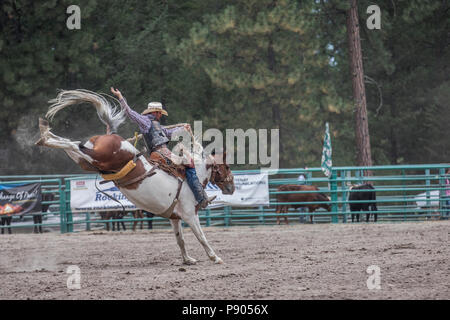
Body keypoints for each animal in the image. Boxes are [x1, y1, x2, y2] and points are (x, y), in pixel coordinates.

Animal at [35, 89, 236, 264]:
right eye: (226, 166)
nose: (232, 187)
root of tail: (111, 135)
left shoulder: (174, 217)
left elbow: (180, 240)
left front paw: (187, 260)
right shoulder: (189, 214)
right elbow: (201, 237)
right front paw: (215, 258)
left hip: (88, 162)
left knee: (72, 145)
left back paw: (45, 134)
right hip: (97, 157)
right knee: (75, 145)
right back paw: (44, 135)